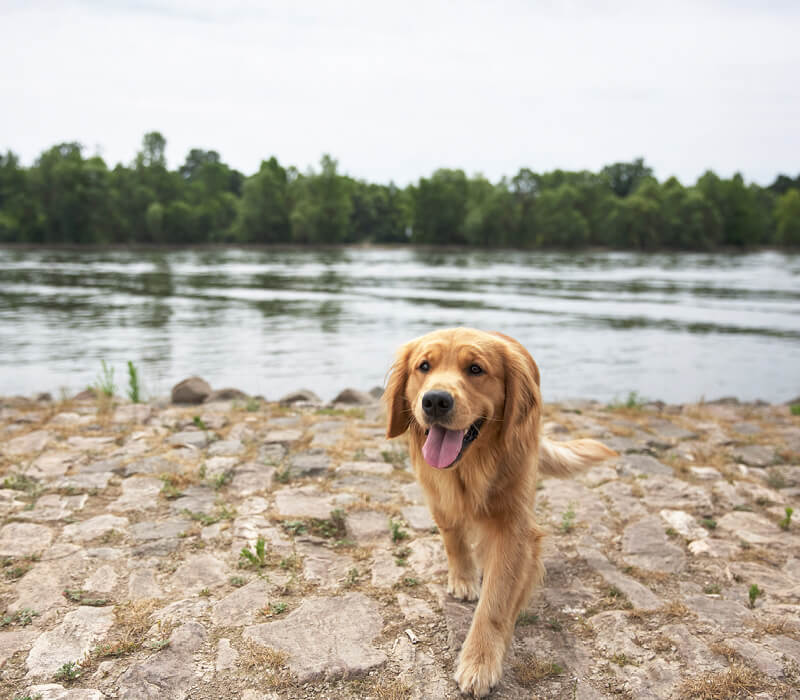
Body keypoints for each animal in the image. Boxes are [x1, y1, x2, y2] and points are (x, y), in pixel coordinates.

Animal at [384, 326, 616, 696]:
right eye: (424, 366)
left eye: (476, 369)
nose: (435, 400)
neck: (472, 466)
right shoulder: (439, 498)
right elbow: (454, 540)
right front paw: (464, 578)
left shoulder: (514, 528)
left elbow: (496, 600)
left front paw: (479, 661)